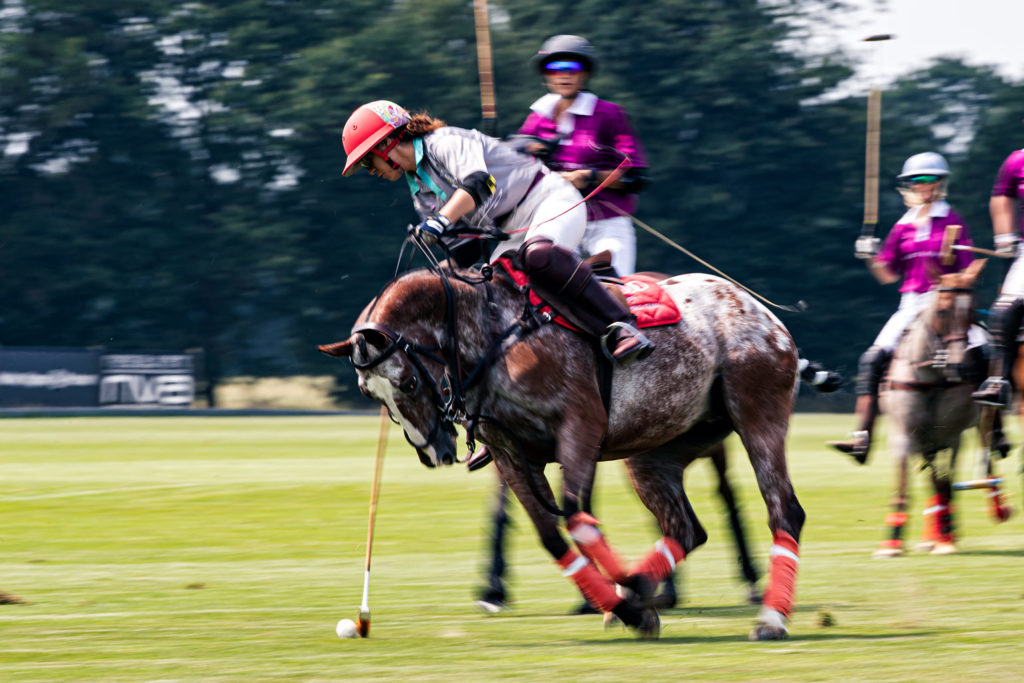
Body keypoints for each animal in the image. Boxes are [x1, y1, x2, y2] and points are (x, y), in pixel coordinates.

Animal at [319, 264, 806, 638]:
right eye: (369, 393)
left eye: (407, 382)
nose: (433, 452)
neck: (492, 341)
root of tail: (760, 309)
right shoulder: (511, 454)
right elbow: (552, 535)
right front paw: (628, 605)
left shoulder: (581, 426)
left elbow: (575, 513)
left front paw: (625, 595)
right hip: (655, 451)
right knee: (687, 529)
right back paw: (645, 589)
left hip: (757, 411)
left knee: (783, 510)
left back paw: (770, 619)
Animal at [872, 259, 991, 557]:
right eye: (942, 310)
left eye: (972, 310)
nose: (960, 367)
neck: (932, 378)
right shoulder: (903, 433)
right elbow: (903, 483)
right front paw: (892, 542)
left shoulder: (951, 436)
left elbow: (946, 483)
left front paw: (946, 539)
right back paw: (930, 536)